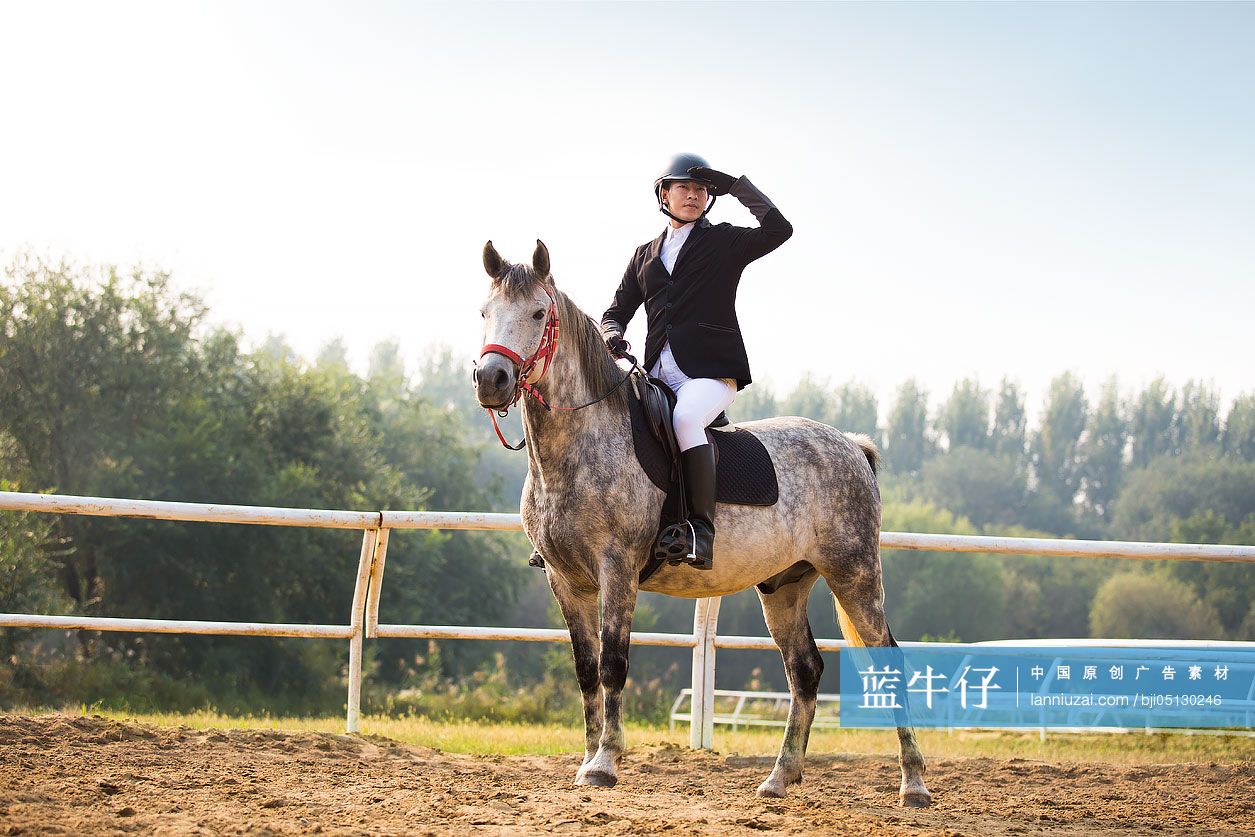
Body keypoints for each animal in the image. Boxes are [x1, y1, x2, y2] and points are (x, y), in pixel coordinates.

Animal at [473, 239, 931, 807]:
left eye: (538, 313)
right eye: (485, 312)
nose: (491, 380)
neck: (581, 442)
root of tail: (850, 445)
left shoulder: (616, 570)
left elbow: (612, 663)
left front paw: (605, 763)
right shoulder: (566, 580)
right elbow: (585, 670)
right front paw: (586, 759)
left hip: (855, 575)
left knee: (889, 662)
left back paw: (913, 785)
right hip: (784, 586)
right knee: (805, 672)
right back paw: (780, 777)